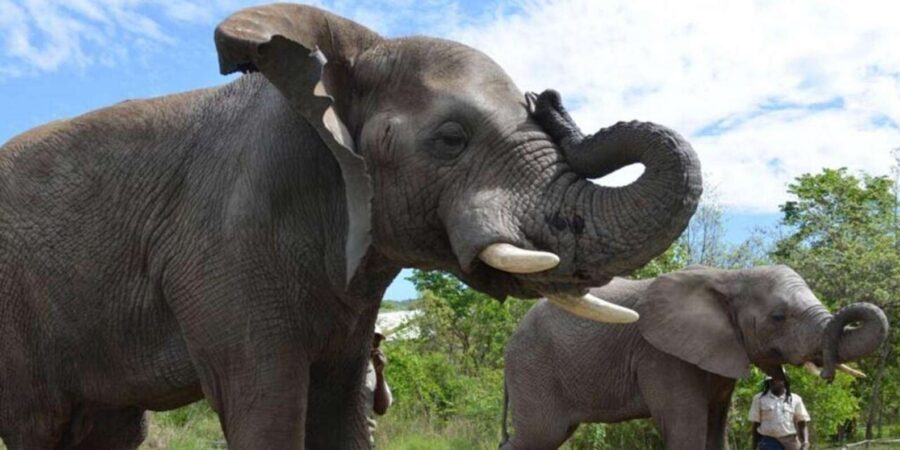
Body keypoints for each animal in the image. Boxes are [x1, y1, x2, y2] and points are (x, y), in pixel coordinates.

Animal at [0, 3, 703, 449]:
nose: (549, 99)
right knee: (39, 424)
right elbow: (265, 405)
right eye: (451, 139)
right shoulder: (223, 246)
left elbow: (339, 408)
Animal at [500, 265, 889, 450]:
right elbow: (687, 432)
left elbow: (715, 431)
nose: (826, 372)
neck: (731, 276)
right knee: (541, 434)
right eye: (778, 317)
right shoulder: (662, 355)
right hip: (534, 366)